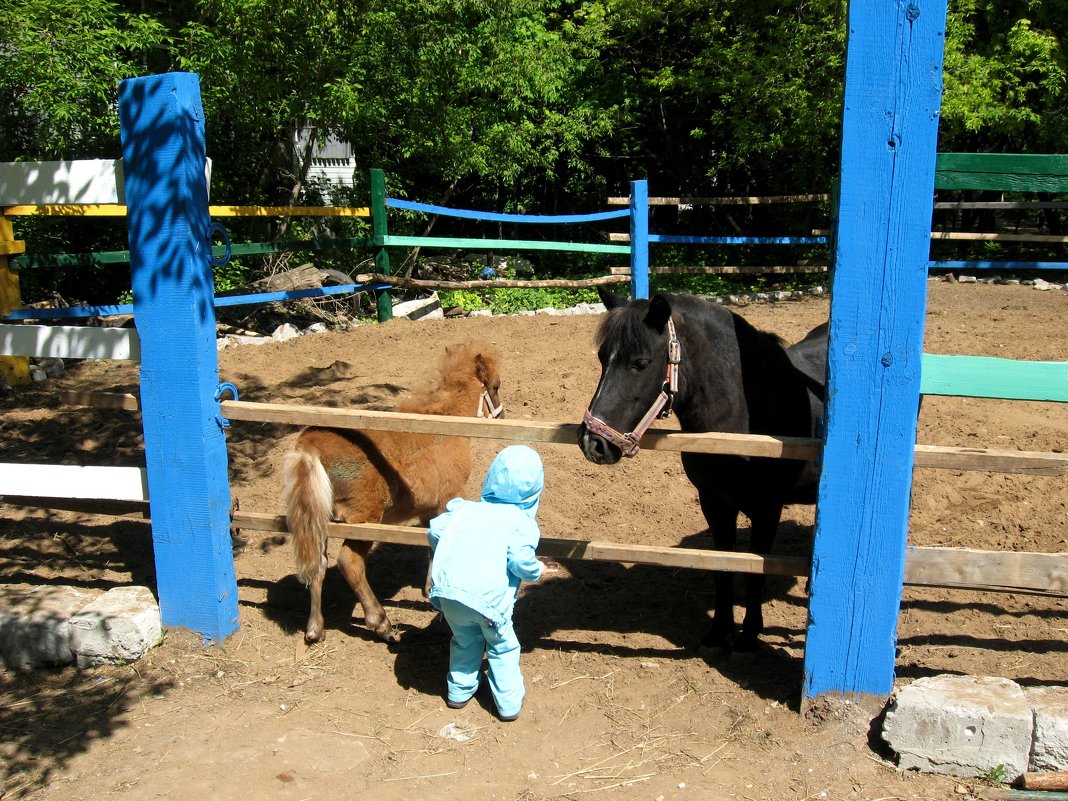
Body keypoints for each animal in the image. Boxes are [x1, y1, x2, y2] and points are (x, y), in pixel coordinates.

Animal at [281, 346, 501, 645]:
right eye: (496, 385)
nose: (501, 415)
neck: (443, 423)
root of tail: (309, 447)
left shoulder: (426, 509)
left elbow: (430, 543)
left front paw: (430, 587)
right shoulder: (449, 497)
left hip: (318, 519)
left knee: (319, 563)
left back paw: (315, 628)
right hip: (365, 519)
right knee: (349, 563)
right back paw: (380, 623)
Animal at [576, 288, 824, 657]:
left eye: (640, 363)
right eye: (602, 358)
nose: (592, 443)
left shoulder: (767, 509)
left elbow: (756, 570)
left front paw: (748, 637)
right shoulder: (714, 502)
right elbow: (722, 566)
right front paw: (719, 632)